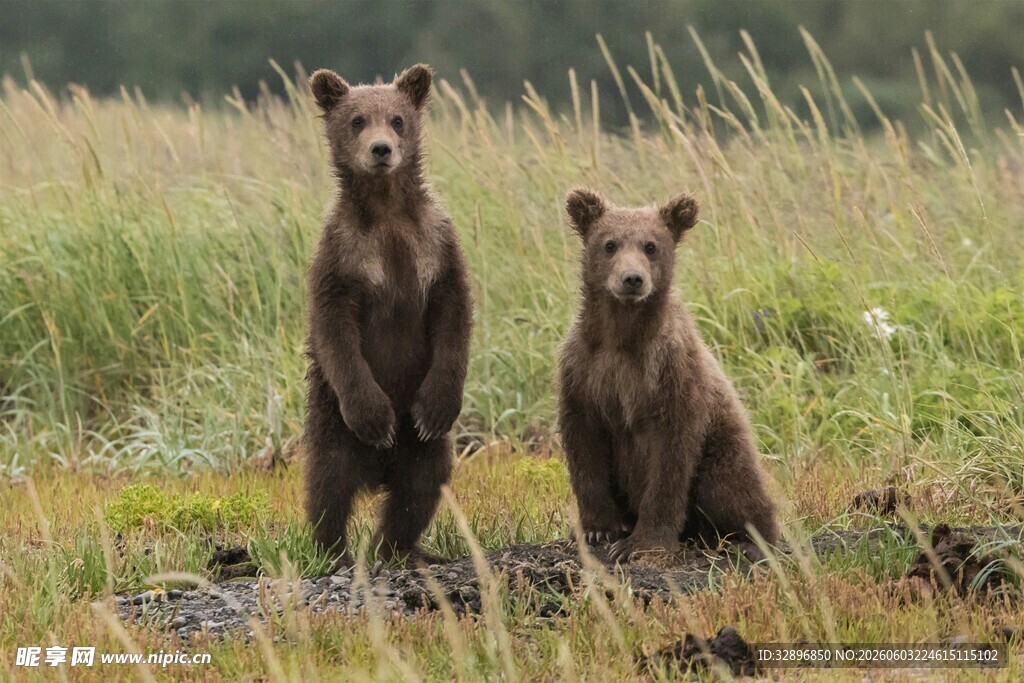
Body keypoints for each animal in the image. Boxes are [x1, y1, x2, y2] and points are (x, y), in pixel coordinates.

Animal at [303, 64, 472, 566]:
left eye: (397, 119)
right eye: (357, 119)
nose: (381, 149)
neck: (386, 211)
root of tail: (378, 472)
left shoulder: (436, 245)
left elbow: (454, 316)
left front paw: (436, 407)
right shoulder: (342, 255)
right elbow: (336, 330)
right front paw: (377, 418)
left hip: (421, 449)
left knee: (420, 486)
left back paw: (400, 548)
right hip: (331, 422)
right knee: (328, 484)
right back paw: (332, 551)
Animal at [557, 188, 779, 563]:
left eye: (651, 245)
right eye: (610, 244)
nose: (632, 278)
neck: (623, 337)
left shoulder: (671, 373)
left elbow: (669, 461)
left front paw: (641, 544)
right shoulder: (584, 371)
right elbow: (584, 446)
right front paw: (597, 529)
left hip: (723, 448)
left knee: (731, 488)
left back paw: (749, 540)